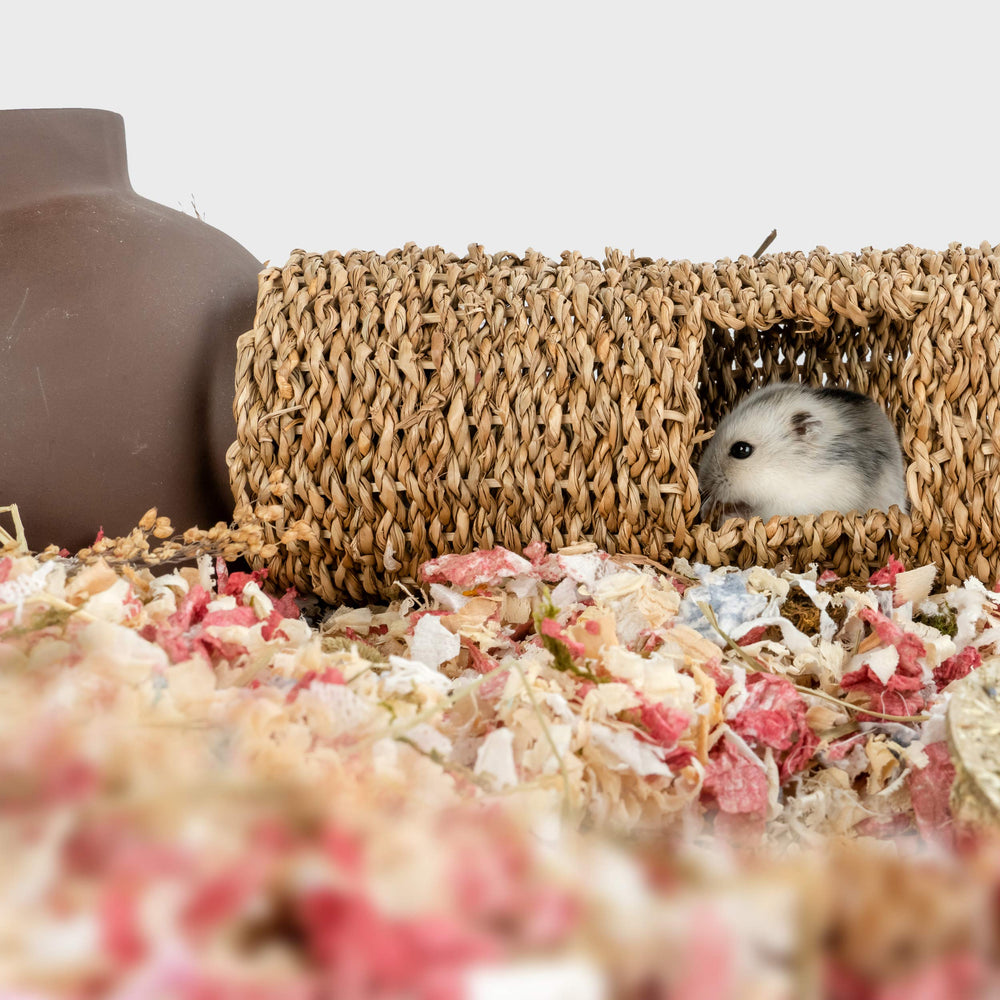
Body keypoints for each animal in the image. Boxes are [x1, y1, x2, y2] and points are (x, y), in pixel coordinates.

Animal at [697, 382, 910, 525]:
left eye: (742, 450)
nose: (701, 483)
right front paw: (706, 509)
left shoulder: (787, 508)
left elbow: (755, 515)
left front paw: (724, 518)